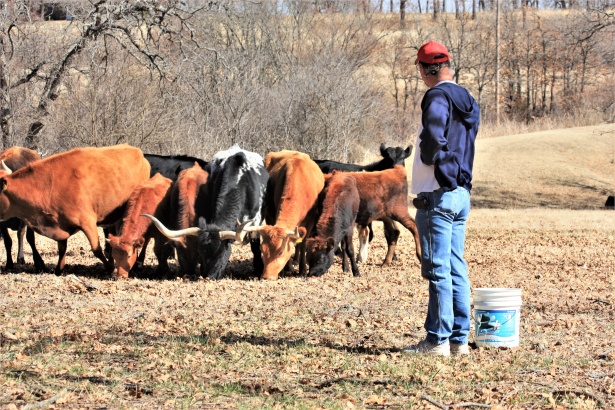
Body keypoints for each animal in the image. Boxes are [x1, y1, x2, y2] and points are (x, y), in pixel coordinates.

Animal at [0, 144, 150, 276]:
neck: (49, 185)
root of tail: (138, 152)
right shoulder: (60, 223)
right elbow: (62, 249)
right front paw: (59, 270)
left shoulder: (87, 222)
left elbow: (96, 249)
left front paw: (111, 269)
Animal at [146, 144, 270, 278]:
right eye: (201, 253)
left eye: (221, 253)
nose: (208, 277)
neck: (239, 181)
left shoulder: (256, 221)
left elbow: (255, 246)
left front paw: (258, 269)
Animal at [248, 149, 328, 280]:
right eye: (262, 249)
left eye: (280, 252)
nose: (266, 277)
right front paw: (285, 269)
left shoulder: (310, 220)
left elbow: (303, 244)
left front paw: (302, 269)